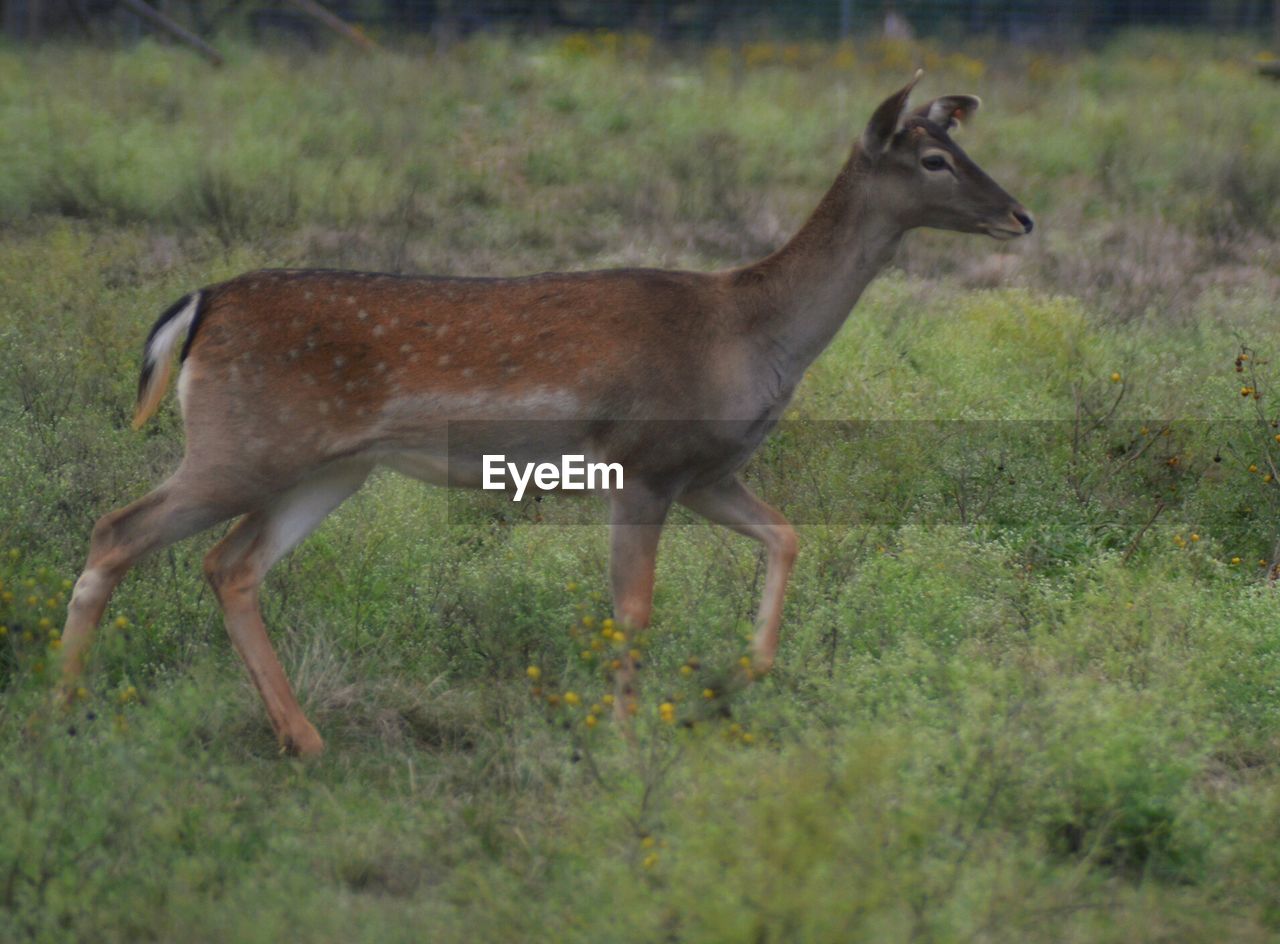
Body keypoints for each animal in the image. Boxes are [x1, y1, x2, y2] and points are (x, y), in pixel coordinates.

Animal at [62, 69, 1029, 752]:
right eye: (933, 161)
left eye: (959, 147)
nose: (1020, 215)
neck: (752, 336)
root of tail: (201, 306)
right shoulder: (641, 462)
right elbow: (632, 609)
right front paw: (628, 739)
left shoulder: (706, 473)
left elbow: (788, 534)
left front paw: (745, 674)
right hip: (241, 442)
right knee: (118, 530)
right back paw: (62, 710)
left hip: (329, 465)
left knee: (230, 565)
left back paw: (303, 738)